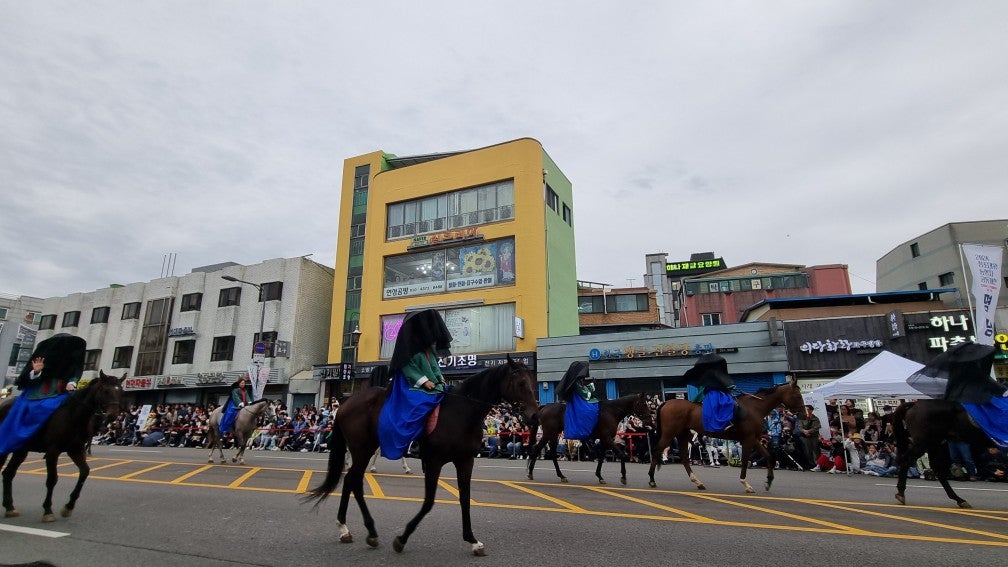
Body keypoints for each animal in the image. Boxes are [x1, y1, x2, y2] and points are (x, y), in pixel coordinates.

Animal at [0, 371, 124, 520]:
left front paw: (68, 506)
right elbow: (52, 479)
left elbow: (84, 472)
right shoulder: (53, 451)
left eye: (121, 392)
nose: (113, 415)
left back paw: (9, 507)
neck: (74, 415)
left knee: (8, 473)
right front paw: (48, 510)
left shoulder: (75, 449)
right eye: (106, 391)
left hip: (20, 450)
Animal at [300, 355, 540, 552]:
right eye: (521, 383)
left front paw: (472, 540)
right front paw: (402, 538)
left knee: (352, 480)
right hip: (362, 448)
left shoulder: (465, 460)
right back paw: (361, 530)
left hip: (365, 448)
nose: (534, 415)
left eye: (532, 383)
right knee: (353, 480)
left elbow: (465, 498)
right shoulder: (434, 461)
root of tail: (346, 403)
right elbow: (429, 501)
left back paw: (349, 529)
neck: (461, 413)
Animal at [645, 379, 802, 490]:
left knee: (684, 457)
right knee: (658, 450)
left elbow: (768, 455)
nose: (802, 413)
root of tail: (666, 403)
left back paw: (697, 482)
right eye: (797, 395)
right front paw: (745, 483)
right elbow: (745, 459)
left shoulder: (754, 438)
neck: (754, 408)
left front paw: (768, 481)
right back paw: (652, 479)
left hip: (682, 434)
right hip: (669, 433)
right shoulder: (748, 439)